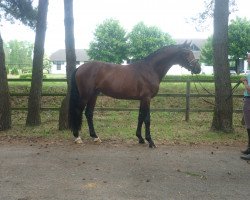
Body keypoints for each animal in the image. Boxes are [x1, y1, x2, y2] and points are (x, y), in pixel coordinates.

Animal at [68, 42, 201, 148]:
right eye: (186, 53)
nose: (198, 69)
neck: (150, 69)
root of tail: (80, 68)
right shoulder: (147, 98)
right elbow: (147, 119)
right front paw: (150, 141)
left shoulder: (142, 99)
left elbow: (140, 117)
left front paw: (140, 138)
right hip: (85, 95)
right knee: (78, 111)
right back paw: (77, 137)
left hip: (94, 95)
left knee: (89, 113)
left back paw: (95, 137)